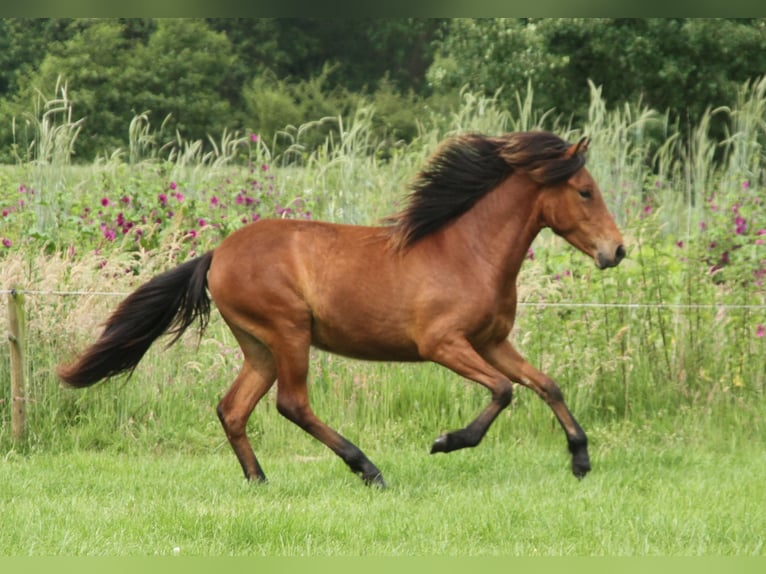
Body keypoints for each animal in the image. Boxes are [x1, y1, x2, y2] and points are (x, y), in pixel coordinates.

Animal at [58, 131, 625, 487]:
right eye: (585, 191)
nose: (617, 251)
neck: (468, 253)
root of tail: (218, 252)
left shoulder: (492, 341)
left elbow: (546, 384)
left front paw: (580, 459)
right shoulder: (443, 344)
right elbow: (505, 390)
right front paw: (447, 441)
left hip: (259, 347)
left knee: (233, 408)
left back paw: (259, 480)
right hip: (289, 333)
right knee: (292, 404)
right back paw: (367, 469)